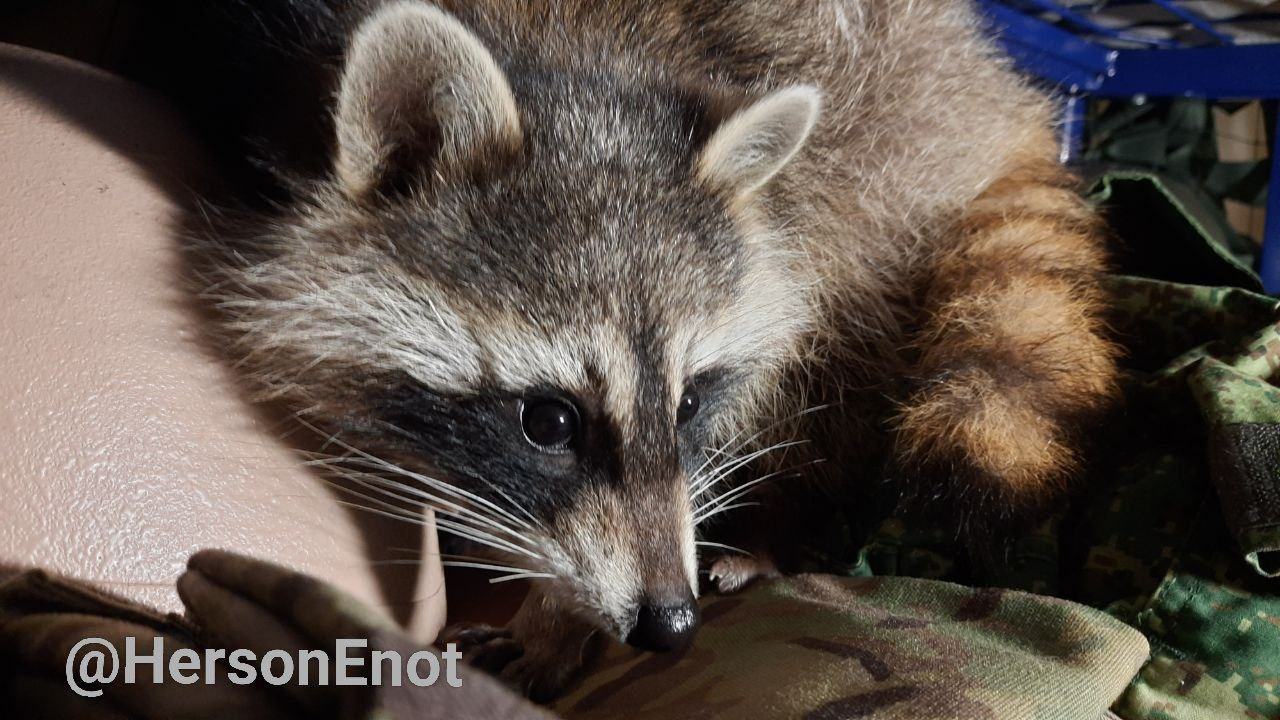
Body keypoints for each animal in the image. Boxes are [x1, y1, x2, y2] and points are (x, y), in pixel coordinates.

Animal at [162, 0, 1121, 696]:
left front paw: (555, 616)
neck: (580, 68)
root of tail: (991, 87)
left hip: (885, 195)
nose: (668, 624)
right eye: (548, 421)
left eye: (690, 401)